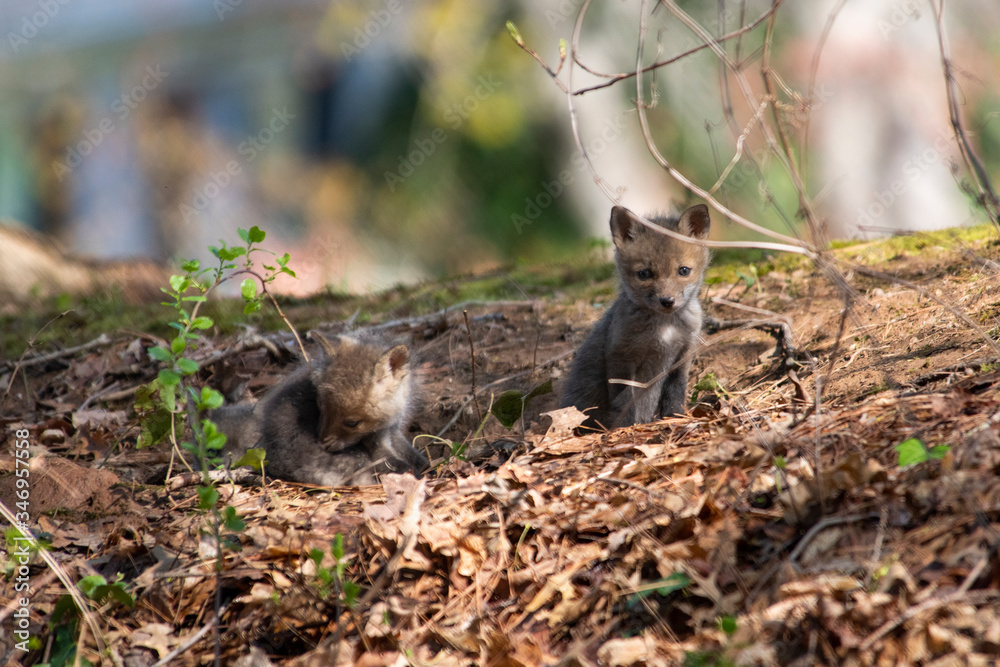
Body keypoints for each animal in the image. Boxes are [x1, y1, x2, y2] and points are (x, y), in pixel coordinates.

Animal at [213, 331, 428, 486]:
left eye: (352, 423)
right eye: (321, 408)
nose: (322, 443)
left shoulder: (391, 432)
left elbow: (413, 454)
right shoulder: (377, 443)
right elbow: (396, 461)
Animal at [561, 203, 711, 430]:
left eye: (684, 270)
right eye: (644, 274)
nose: (667, 301)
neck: (664, 328)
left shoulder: (683, 354)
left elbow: (675, 393)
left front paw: (675, 418)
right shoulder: (621, 357)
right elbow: (624, 402)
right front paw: (625, 428)